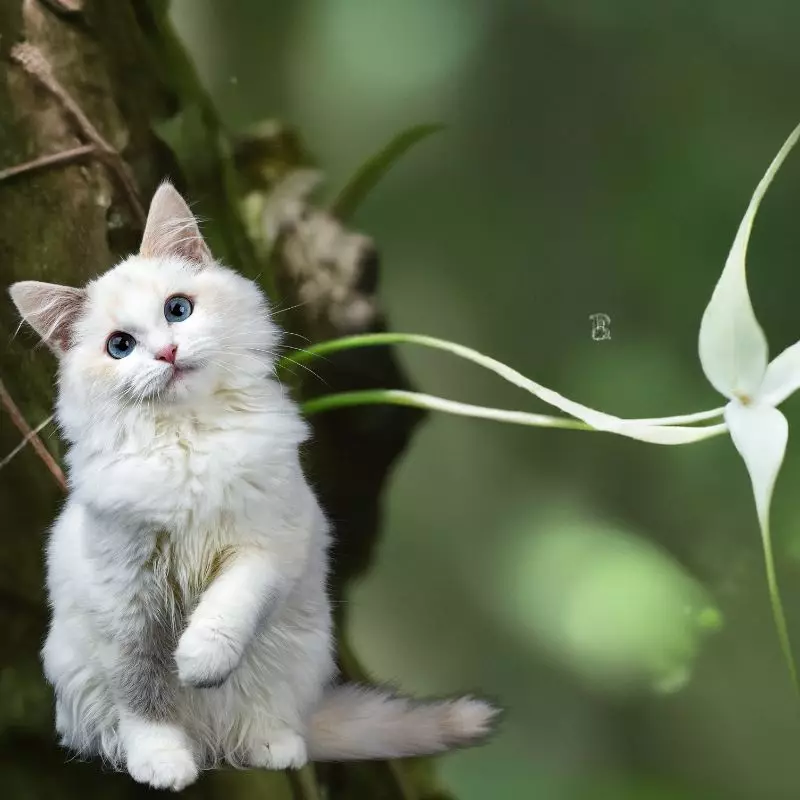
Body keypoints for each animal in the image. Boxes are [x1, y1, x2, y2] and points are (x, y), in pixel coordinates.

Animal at [7, 184, 494, 792]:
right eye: (119, 346)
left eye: (178, 309)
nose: (167, 353)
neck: (188, 442)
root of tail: (214, 743)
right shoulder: (126, 599)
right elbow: (144, 695)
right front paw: (162, 761)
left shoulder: (266, 546)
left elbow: (227, 609)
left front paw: (197, 662)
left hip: (298, 653)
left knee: (271, 721)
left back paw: (272, 745)